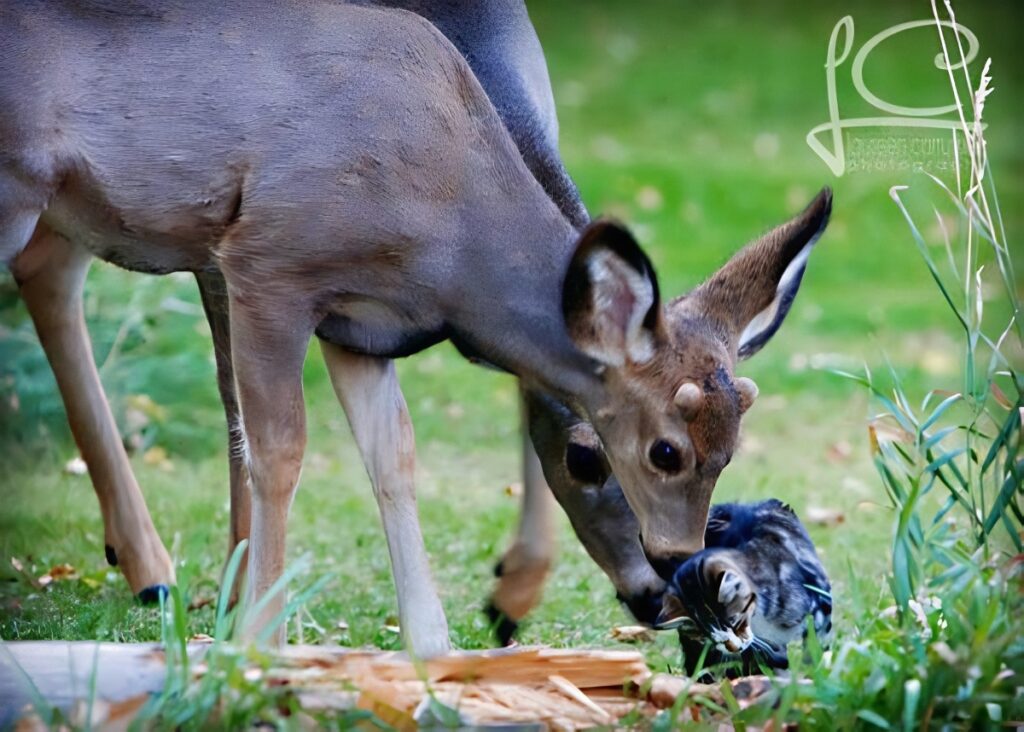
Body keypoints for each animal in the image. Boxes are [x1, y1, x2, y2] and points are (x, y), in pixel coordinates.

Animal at [0, 0, 831, 659]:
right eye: (660, 451)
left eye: (732, 448)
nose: (669, 571)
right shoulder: (265, 259)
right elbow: (274, 447)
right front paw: (258, 638)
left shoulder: (359, 326)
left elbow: (393, 454)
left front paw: (434, 650)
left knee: (49, 268)